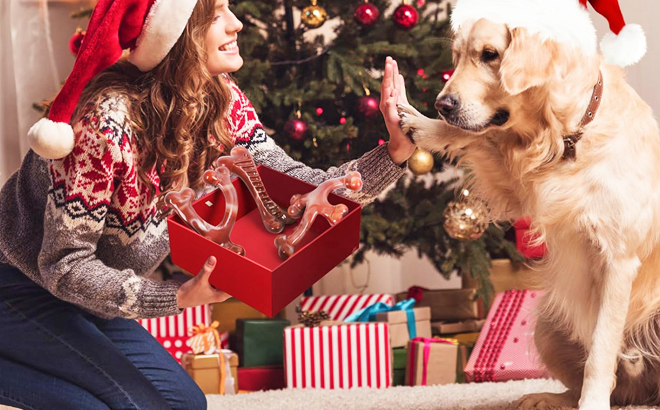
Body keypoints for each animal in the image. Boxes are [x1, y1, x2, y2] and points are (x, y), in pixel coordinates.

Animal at [394, 1, 656, 408]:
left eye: (490, 55)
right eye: (456, 57)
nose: (441, 104)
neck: (568, 135)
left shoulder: (618, 259)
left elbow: (600, 351)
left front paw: (593, 404)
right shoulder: (521, 187)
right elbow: (477, 138)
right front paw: (422, 124)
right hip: (548, 323)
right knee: (592, 386)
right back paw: (545, 397)